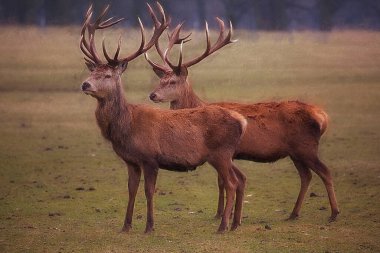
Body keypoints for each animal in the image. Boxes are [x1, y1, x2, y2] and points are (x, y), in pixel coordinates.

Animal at [78, 3, 248, 233]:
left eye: (107, 75)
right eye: (93, 71)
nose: (85, 84)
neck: (127, 127)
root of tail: (241, 121)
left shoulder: (150, 158)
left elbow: (149, 191)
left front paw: (149, 226)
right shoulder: (131, 160)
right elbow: (131, 190)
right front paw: (126, 226)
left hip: (221, 153)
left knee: (231, 183)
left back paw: (222, 226)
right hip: (227, 155)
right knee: (239, 179)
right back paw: (235, 224)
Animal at [145, 19, 342, 221]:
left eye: (172, 82)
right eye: (161, 80)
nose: (153, 95)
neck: (198, 106)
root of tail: (322, 116)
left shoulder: (222, 150)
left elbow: (222, 181)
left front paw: (221, 213)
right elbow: (222, 181)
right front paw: (222, 212)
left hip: (306, 146)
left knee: (325, 172)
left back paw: (334, 213)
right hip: (295, 151)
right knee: (306, 176)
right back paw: (294, 213)